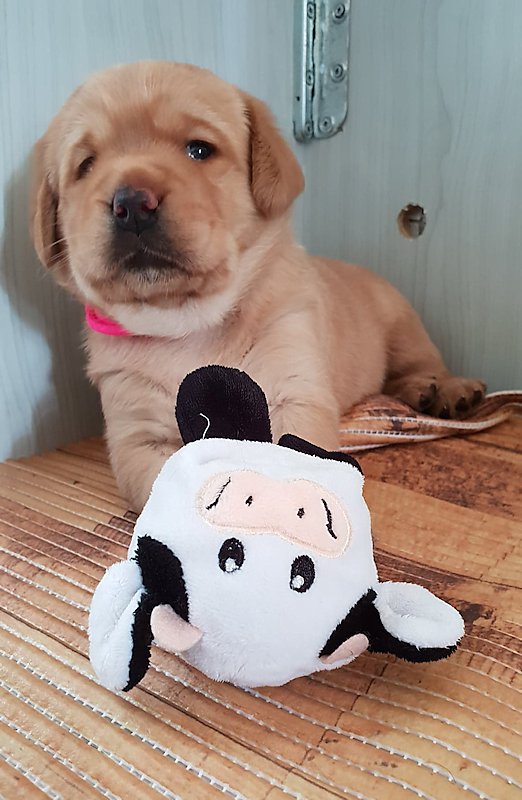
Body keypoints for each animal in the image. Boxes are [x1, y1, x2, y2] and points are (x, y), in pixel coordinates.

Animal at [30, 61, 485, 511]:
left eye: (199, 150)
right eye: (86, 166)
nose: (132, 205)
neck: (188, 324)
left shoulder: (292, 389)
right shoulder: (137, 434)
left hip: (402, 324)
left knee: (419, 365)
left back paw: (444, 389)